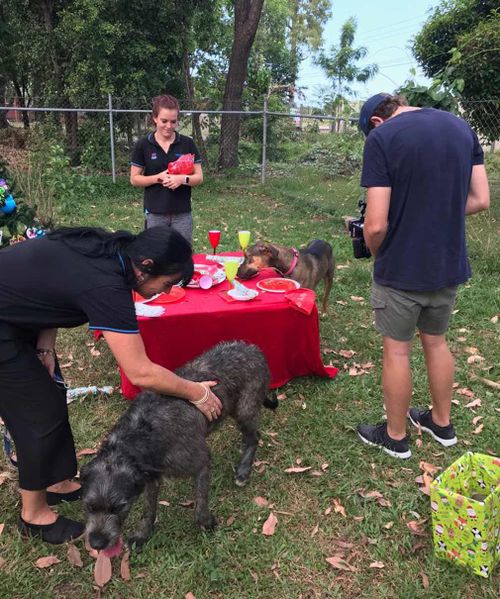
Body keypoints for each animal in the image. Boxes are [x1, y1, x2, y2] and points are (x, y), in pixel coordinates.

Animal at [82, 342, 278, 552]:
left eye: (119, 507)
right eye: (89, 506)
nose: (96, 544)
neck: (139, 436)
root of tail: (253, 349)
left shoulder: (200, 462)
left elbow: (200, 504)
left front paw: (207, 523)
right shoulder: (150, 478)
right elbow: (148, 509)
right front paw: (142, 534)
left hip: (244, 409)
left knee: (254, 437)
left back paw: (243, 470)